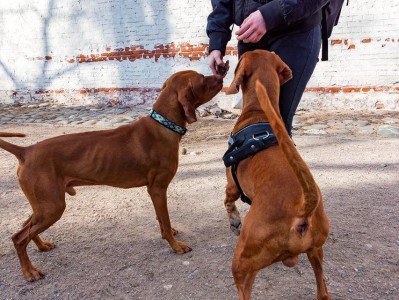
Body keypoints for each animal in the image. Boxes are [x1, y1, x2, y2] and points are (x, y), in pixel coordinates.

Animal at [0, 70, 225, 282]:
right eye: (202, 78)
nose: (222, 74)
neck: (163, 125)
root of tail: (26, 151)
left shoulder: (155, 191)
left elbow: (162, 220)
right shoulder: (158, 189)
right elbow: (166, 222)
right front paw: (175, 246)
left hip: (44, 205)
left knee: (27, 227)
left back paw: (41, 245)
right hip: (52, 207)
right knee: (19, 237)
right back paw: (29, 272)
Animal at [225, 50, 332, 298]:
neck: (259, 112)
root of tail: (303, 206)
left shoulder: (232, 183)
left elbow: (228, 200)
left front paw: (234, 220)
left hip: (242, 261)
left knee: (243, 290)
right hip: (316, 251)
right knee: (323, 292)